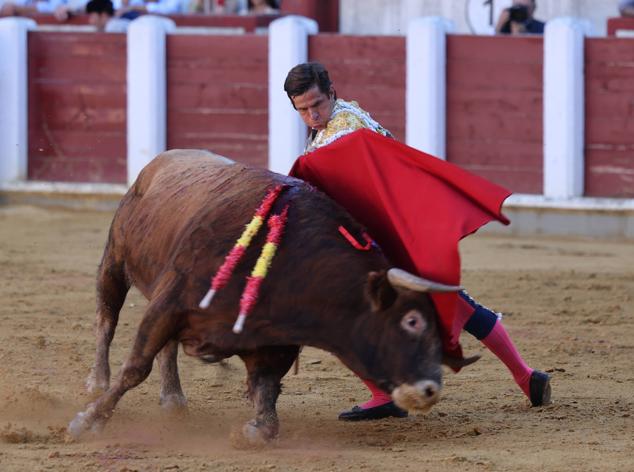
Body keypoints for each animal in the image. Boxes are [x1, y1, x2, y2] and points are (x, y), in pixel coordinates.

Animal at [68, 149, 470, 444]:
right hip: (114, 262)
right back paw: (96, 382)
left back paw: (173, 399)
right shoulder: (170, 301)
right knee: (107, 319)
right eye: (412, 321)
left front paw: (251, 430)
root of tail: (160, 160)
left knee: (165, 348)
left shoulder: (274, 343)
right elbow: (135, 367)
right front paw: (87, 422)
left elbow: (266, 397)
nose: (430, 389)